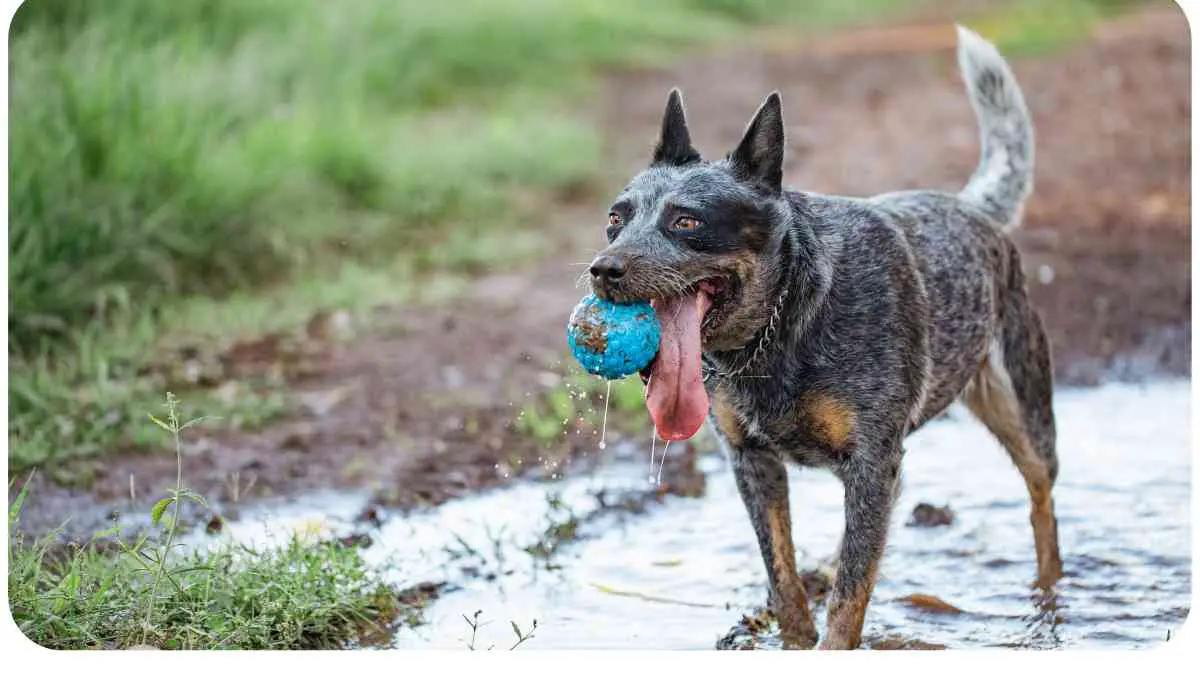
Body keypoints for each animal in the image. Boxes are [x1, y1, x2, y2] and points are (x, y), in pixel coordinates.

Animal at [585, 26, 1065, 648]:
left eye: (686, 222)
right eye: (615, 219)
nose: (603, 269)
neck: (782, 327)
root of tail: (972, 208)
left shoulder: (871, 462)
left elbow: (849, 598)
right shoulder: (752, 462)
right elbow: (784, 579)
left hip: (1023, 411)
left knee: (1042, 501)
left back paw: (1049, 596)